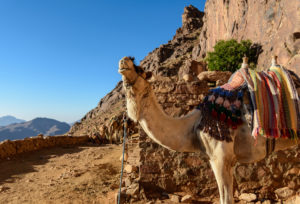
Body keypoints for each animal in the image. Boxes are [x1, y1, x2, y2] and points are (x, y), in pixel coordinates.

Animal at [118, 56, 298, 204]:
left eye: (140, 69)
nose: (123, 61)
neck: (193, 126)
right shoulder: (226, 160)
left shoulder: (220, 157)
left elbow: (226, 199)